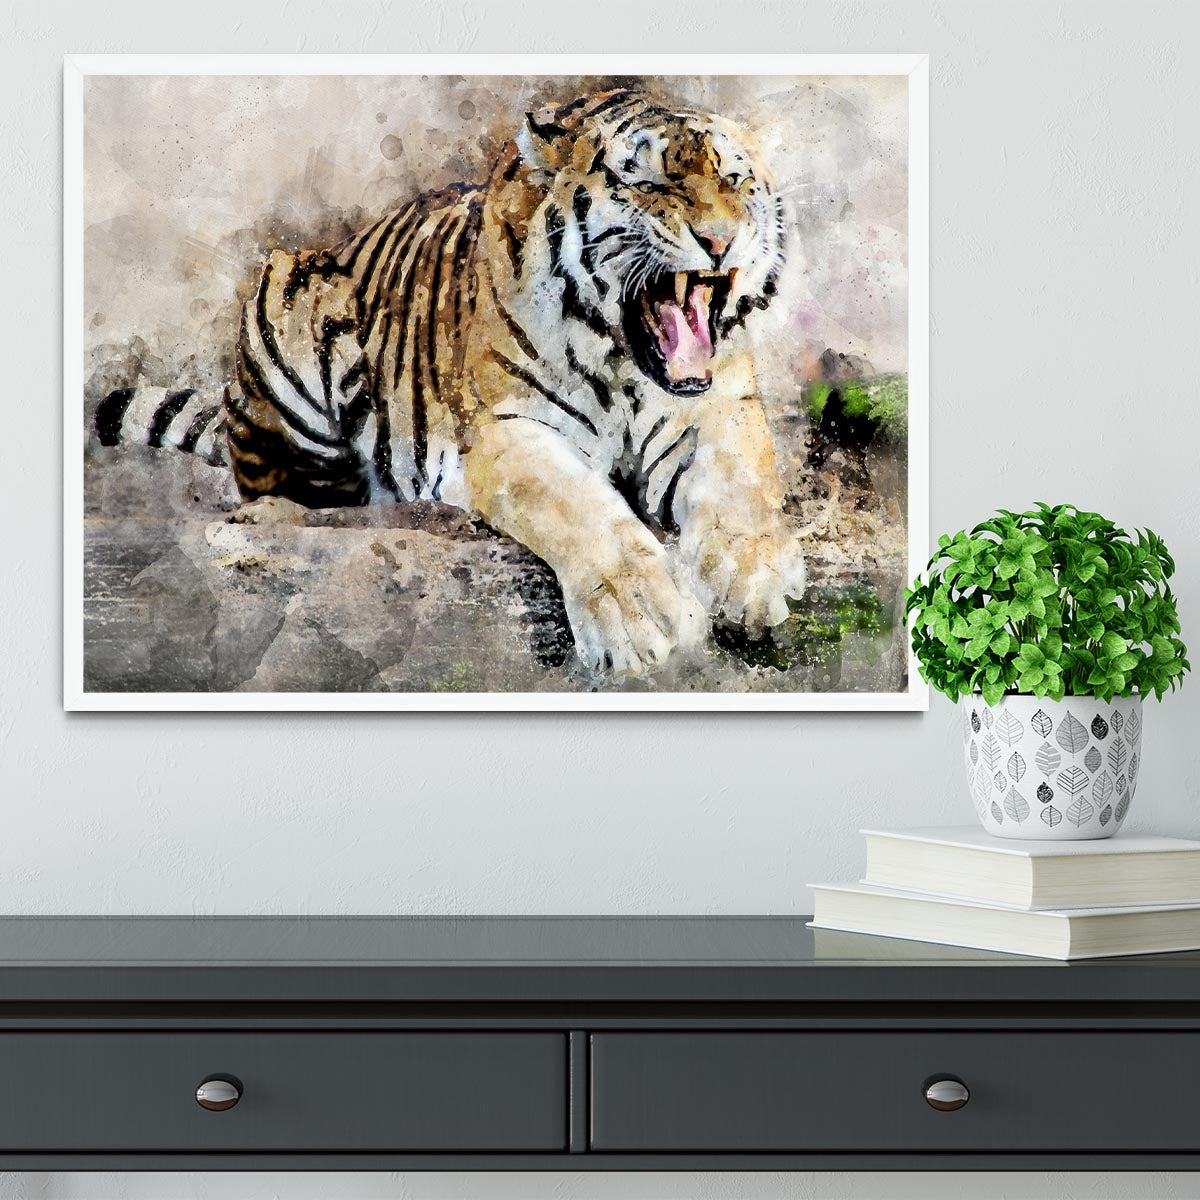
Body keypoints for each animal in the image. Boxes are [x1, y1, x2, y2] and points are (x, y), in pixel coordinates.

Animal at [95, 88, 806, 676]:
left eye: (735, 177)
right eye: (650, 179)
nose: (721, 239)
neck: (625, 363)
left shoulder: (719, 408)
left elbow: (743, 483)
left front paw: (756, 578)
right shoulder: (509, 433)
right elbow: (581, 511)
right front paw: (643, 617)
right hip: (287, 298)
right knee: (291, 485)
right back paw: (278, 514)